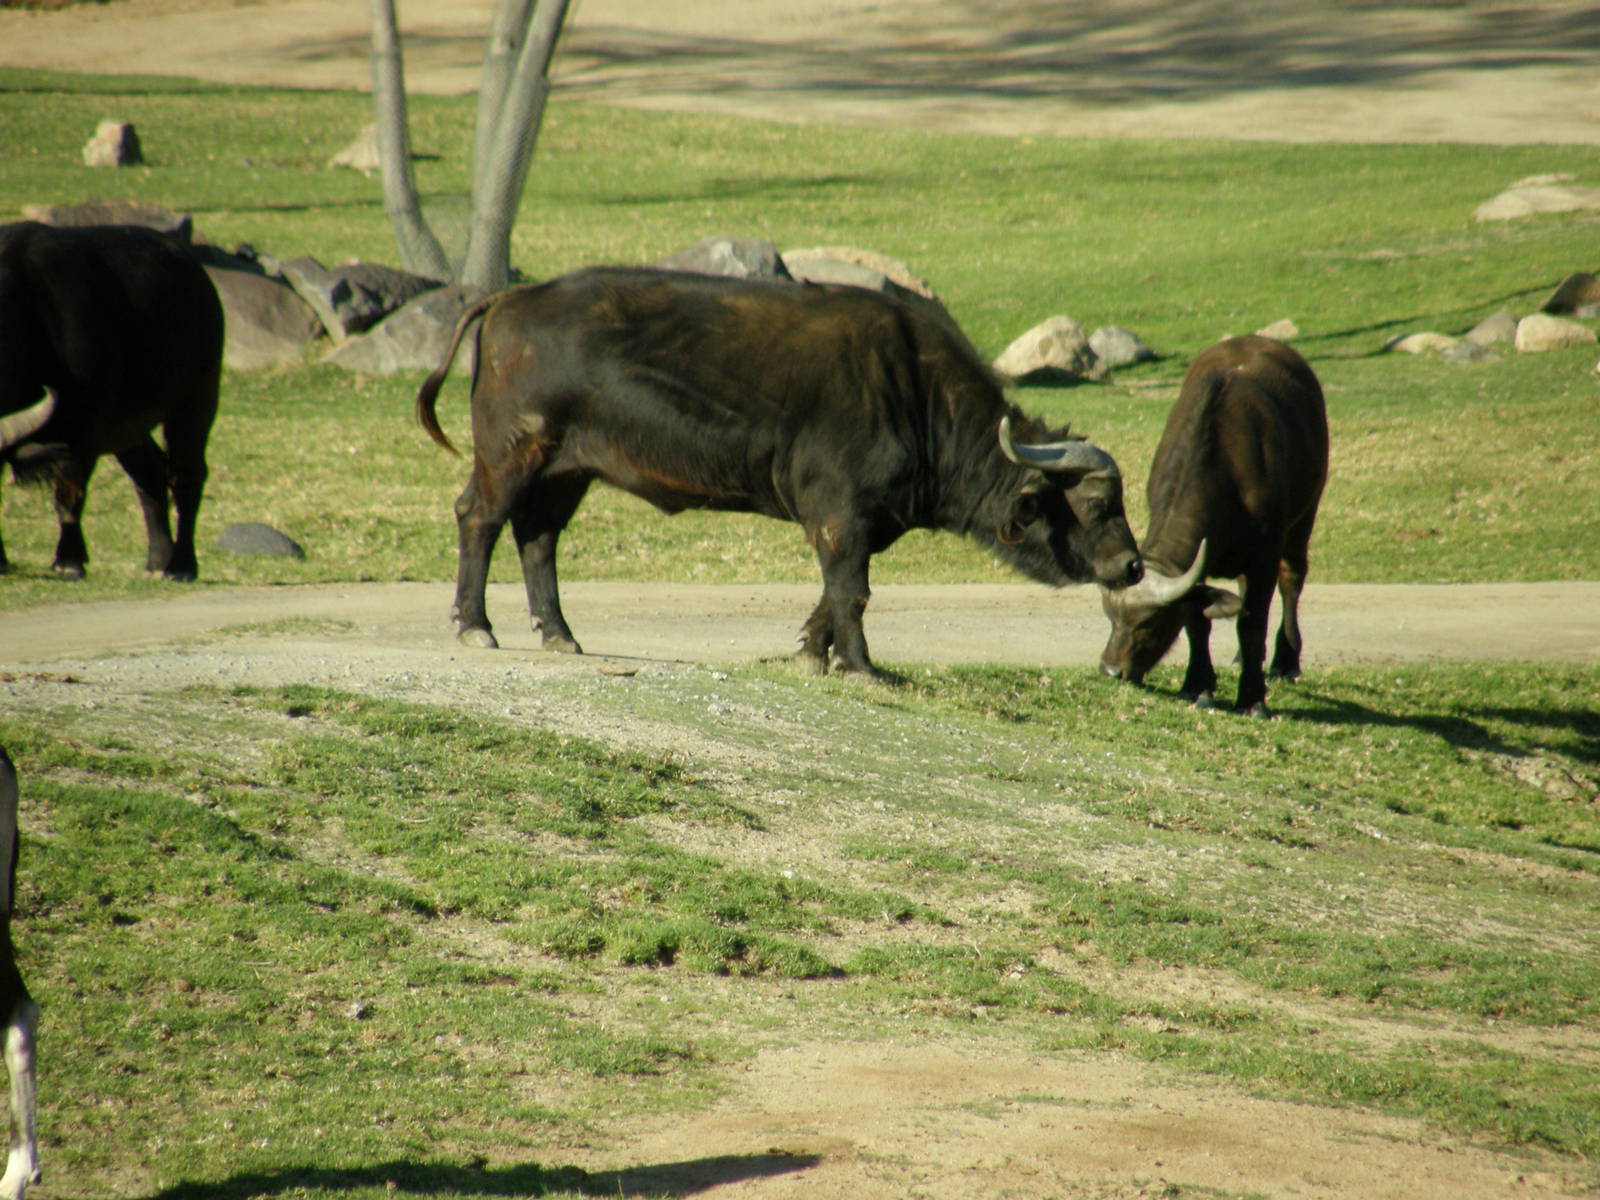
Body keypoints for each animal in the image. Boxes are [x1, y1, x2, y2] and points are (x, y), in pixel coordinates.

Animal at [0, 222, 223, 580]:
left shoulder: (83, 428)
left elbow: (69, 493)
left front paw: (69, 560)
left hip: (196, 402)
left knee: (187, 475)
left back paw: (182, 564)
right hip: (128, 426)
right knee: (150, 473)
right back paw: (158, 558)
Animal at [417, 267, 1142, 676]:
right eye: (1098, 503)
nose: (1134, 566)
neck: (914, 394)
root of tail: (510, 300)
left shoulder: (862, 523)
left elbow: (833, 592)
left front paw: (812, 652)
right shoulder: (840, 514)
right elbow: (852, 591)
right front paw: (861, 665)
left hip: (567, 471)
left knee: (537, 538)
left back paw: (561, 636)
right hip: (513, 452)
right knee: (479, 518)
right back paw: (476, 626)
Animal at [1099, 335, 1328, 715]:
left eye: (1150, 623)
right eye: (1111, 617)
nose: (1111, 670)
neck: (1226, 475)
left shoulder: (1264, 557)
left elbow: (1252, 623)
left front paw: (1252, 698)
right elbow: (1199, 622)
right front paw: (1197, 685)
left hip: (1306, 512)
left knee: (1292, 579)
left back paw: (1285, 661)